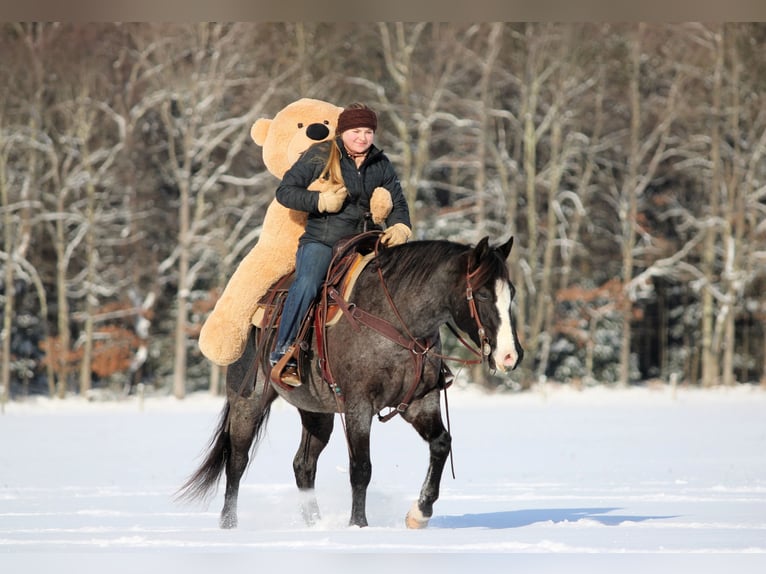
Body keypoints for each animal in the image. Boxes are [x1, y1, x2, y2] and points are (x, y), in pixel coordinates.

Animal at [178, 234, 523, 529]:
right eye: (482, 294)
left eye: (512, 293)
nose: (510, 355)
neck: (397, 321)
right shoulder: (359, 406)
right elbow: (361, 468)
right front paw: (359, 525)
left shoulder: (420, 402)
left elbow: (441, 445)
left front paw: (419, 513)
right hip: (247, 402)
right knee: (237, 461)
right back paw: (229, 525)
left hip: (316, 413)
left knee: (303, 465)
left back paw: (314, 524)